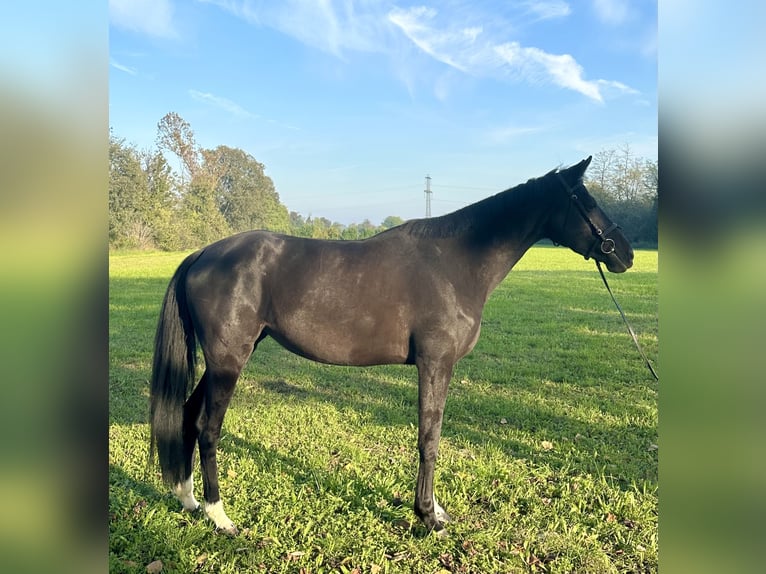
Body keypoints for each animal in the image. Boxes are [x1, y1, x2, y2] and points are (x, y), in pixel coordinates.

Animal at [150, 156, 636, 536]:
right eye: (586, 200)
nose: (625, 254)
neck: (455, 263)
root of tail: (203, 254)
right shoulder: (435, 363)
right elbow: (429, 437)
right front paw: (428, 517)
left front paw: (434, 509)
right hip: (229, 361)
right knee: (208, 428)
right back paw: (220, 516)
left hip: (223, 361)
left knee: (188, 416)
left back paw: (188, 500)